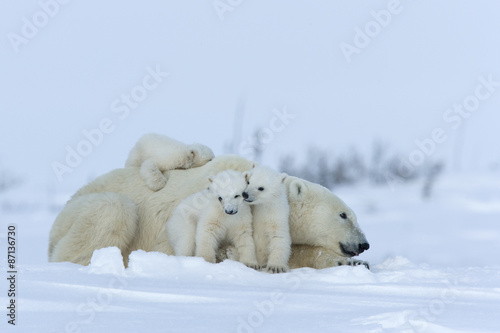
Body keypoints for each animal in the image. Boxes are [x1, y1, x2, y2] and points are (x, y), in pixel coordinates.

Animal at [48, 154, 370, 268]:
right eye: (344, 214)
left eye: (352, 214)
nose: (364, 244)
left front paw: (353, 264)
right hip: (83, 211)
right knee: (112, 210)